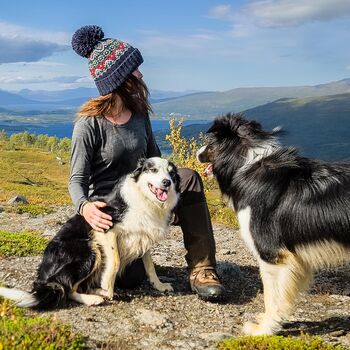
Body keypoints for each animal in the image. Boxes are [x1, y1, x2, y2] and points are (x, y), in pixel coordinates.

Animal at [0, 158, 179, 308]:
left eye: (171, 173)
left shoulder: (143, 235)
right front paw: (107, 287)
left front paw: (159, 285)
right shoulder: (106, 229)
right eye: (153, 170)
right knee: (68, 288)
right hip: (89, 251)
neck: (146, 200)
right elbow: (115, 261)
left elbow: (150, 265)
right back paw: (95, 297)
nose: (167, 182)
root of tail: (44, 276)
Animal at [197, 113, 350, 334]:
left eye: (210, 142)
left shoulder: (272, 253)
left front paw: (264, 328)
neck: (246, 163)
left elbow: (272, 297)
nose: (198, 154)